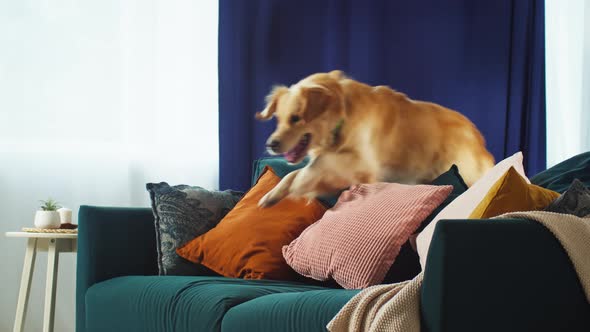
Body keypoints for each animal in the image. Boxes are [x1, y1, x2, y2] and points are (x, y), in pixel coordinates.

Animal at [256, 70, 498, 208]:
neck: (342, 115)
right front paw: (272, 195)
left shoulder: (363, 165)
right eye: (278, 118)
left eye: (296, 118)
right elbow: (296, 172)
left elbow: (313, 167)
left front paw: (299, 182)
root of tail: (478, 138)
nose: (270, 144)